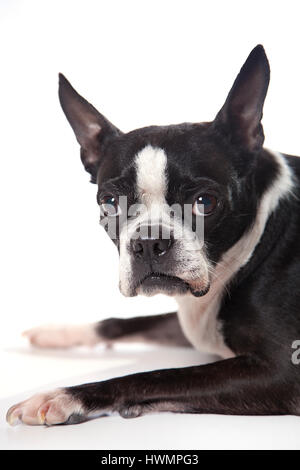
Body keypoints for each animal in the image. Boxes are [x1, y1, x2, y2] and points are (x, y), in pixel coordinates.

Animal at [6, 46, 300, 426]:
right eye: (110, 203)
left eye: (205, 202)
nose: (148, 241)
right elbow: (124, 322)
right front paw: (59, 332)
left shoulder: (282, 371)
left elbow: (157, 376)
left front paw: (64, 396)